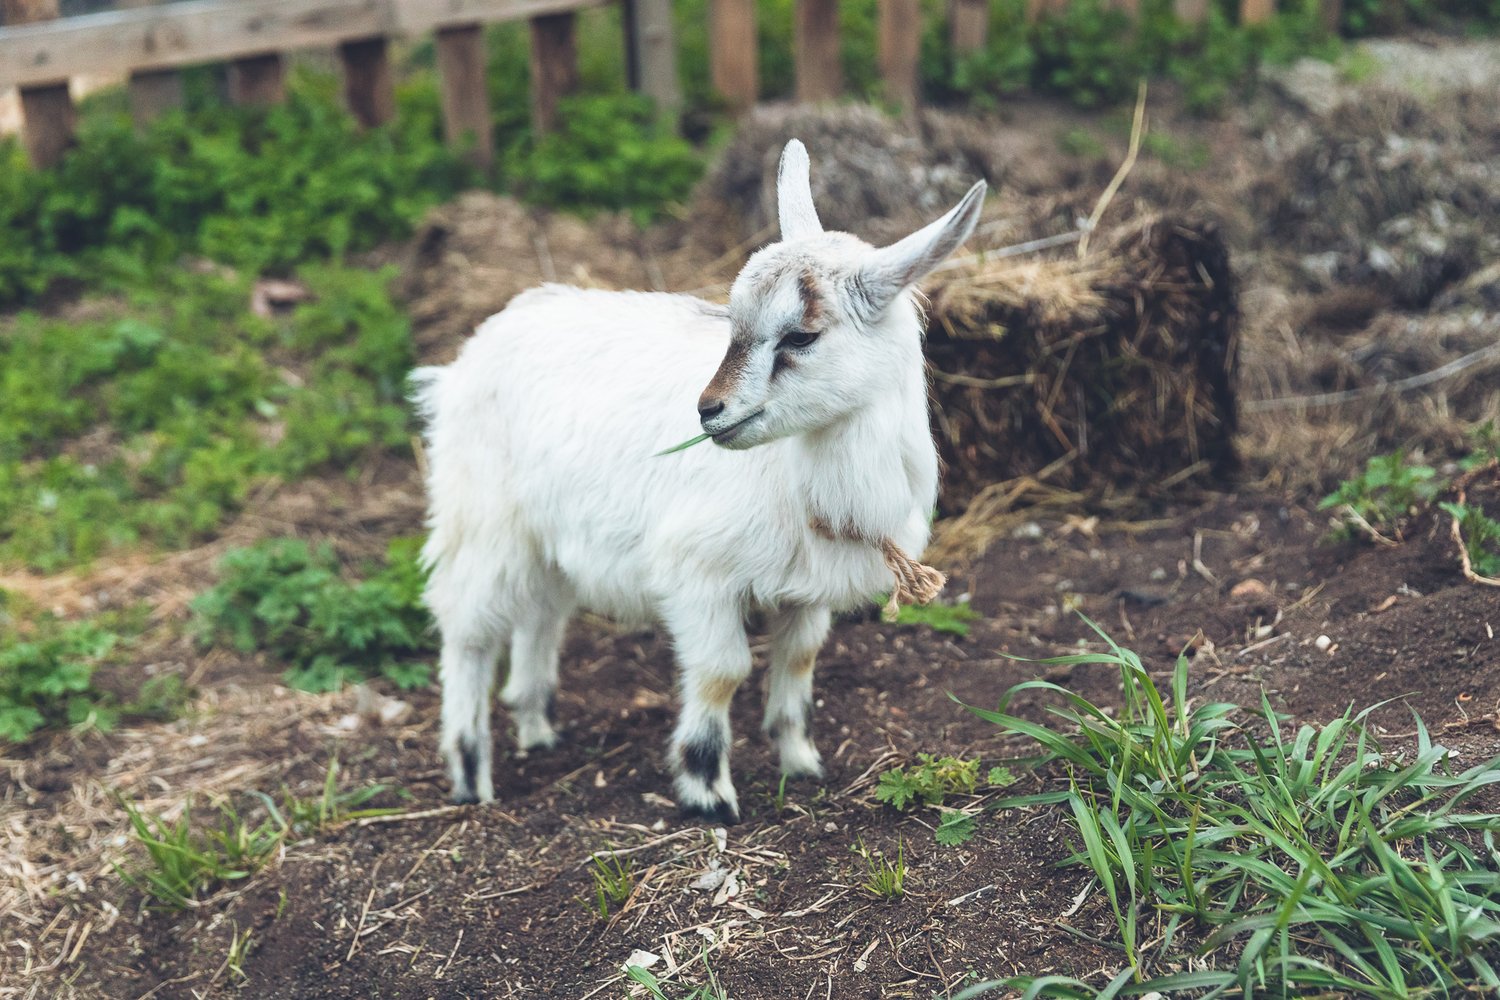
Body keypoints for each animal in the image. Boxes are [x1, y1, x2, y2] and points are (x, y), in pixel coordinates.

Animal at [417, 142, 990, 827]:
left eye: (801, 335)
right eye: (732, 323)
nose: (708, 411)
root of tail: (472, 351)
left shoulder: (808, 590)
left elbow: (798, 660)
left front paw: (801, 762)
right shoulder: (697, 574)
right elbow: (721, 671)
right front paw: (708, 791)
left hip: (549, 536)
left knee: (542, 614)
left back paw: (537, 728)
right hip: (483, 520)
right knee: (467, 630)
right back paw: (470, 775)